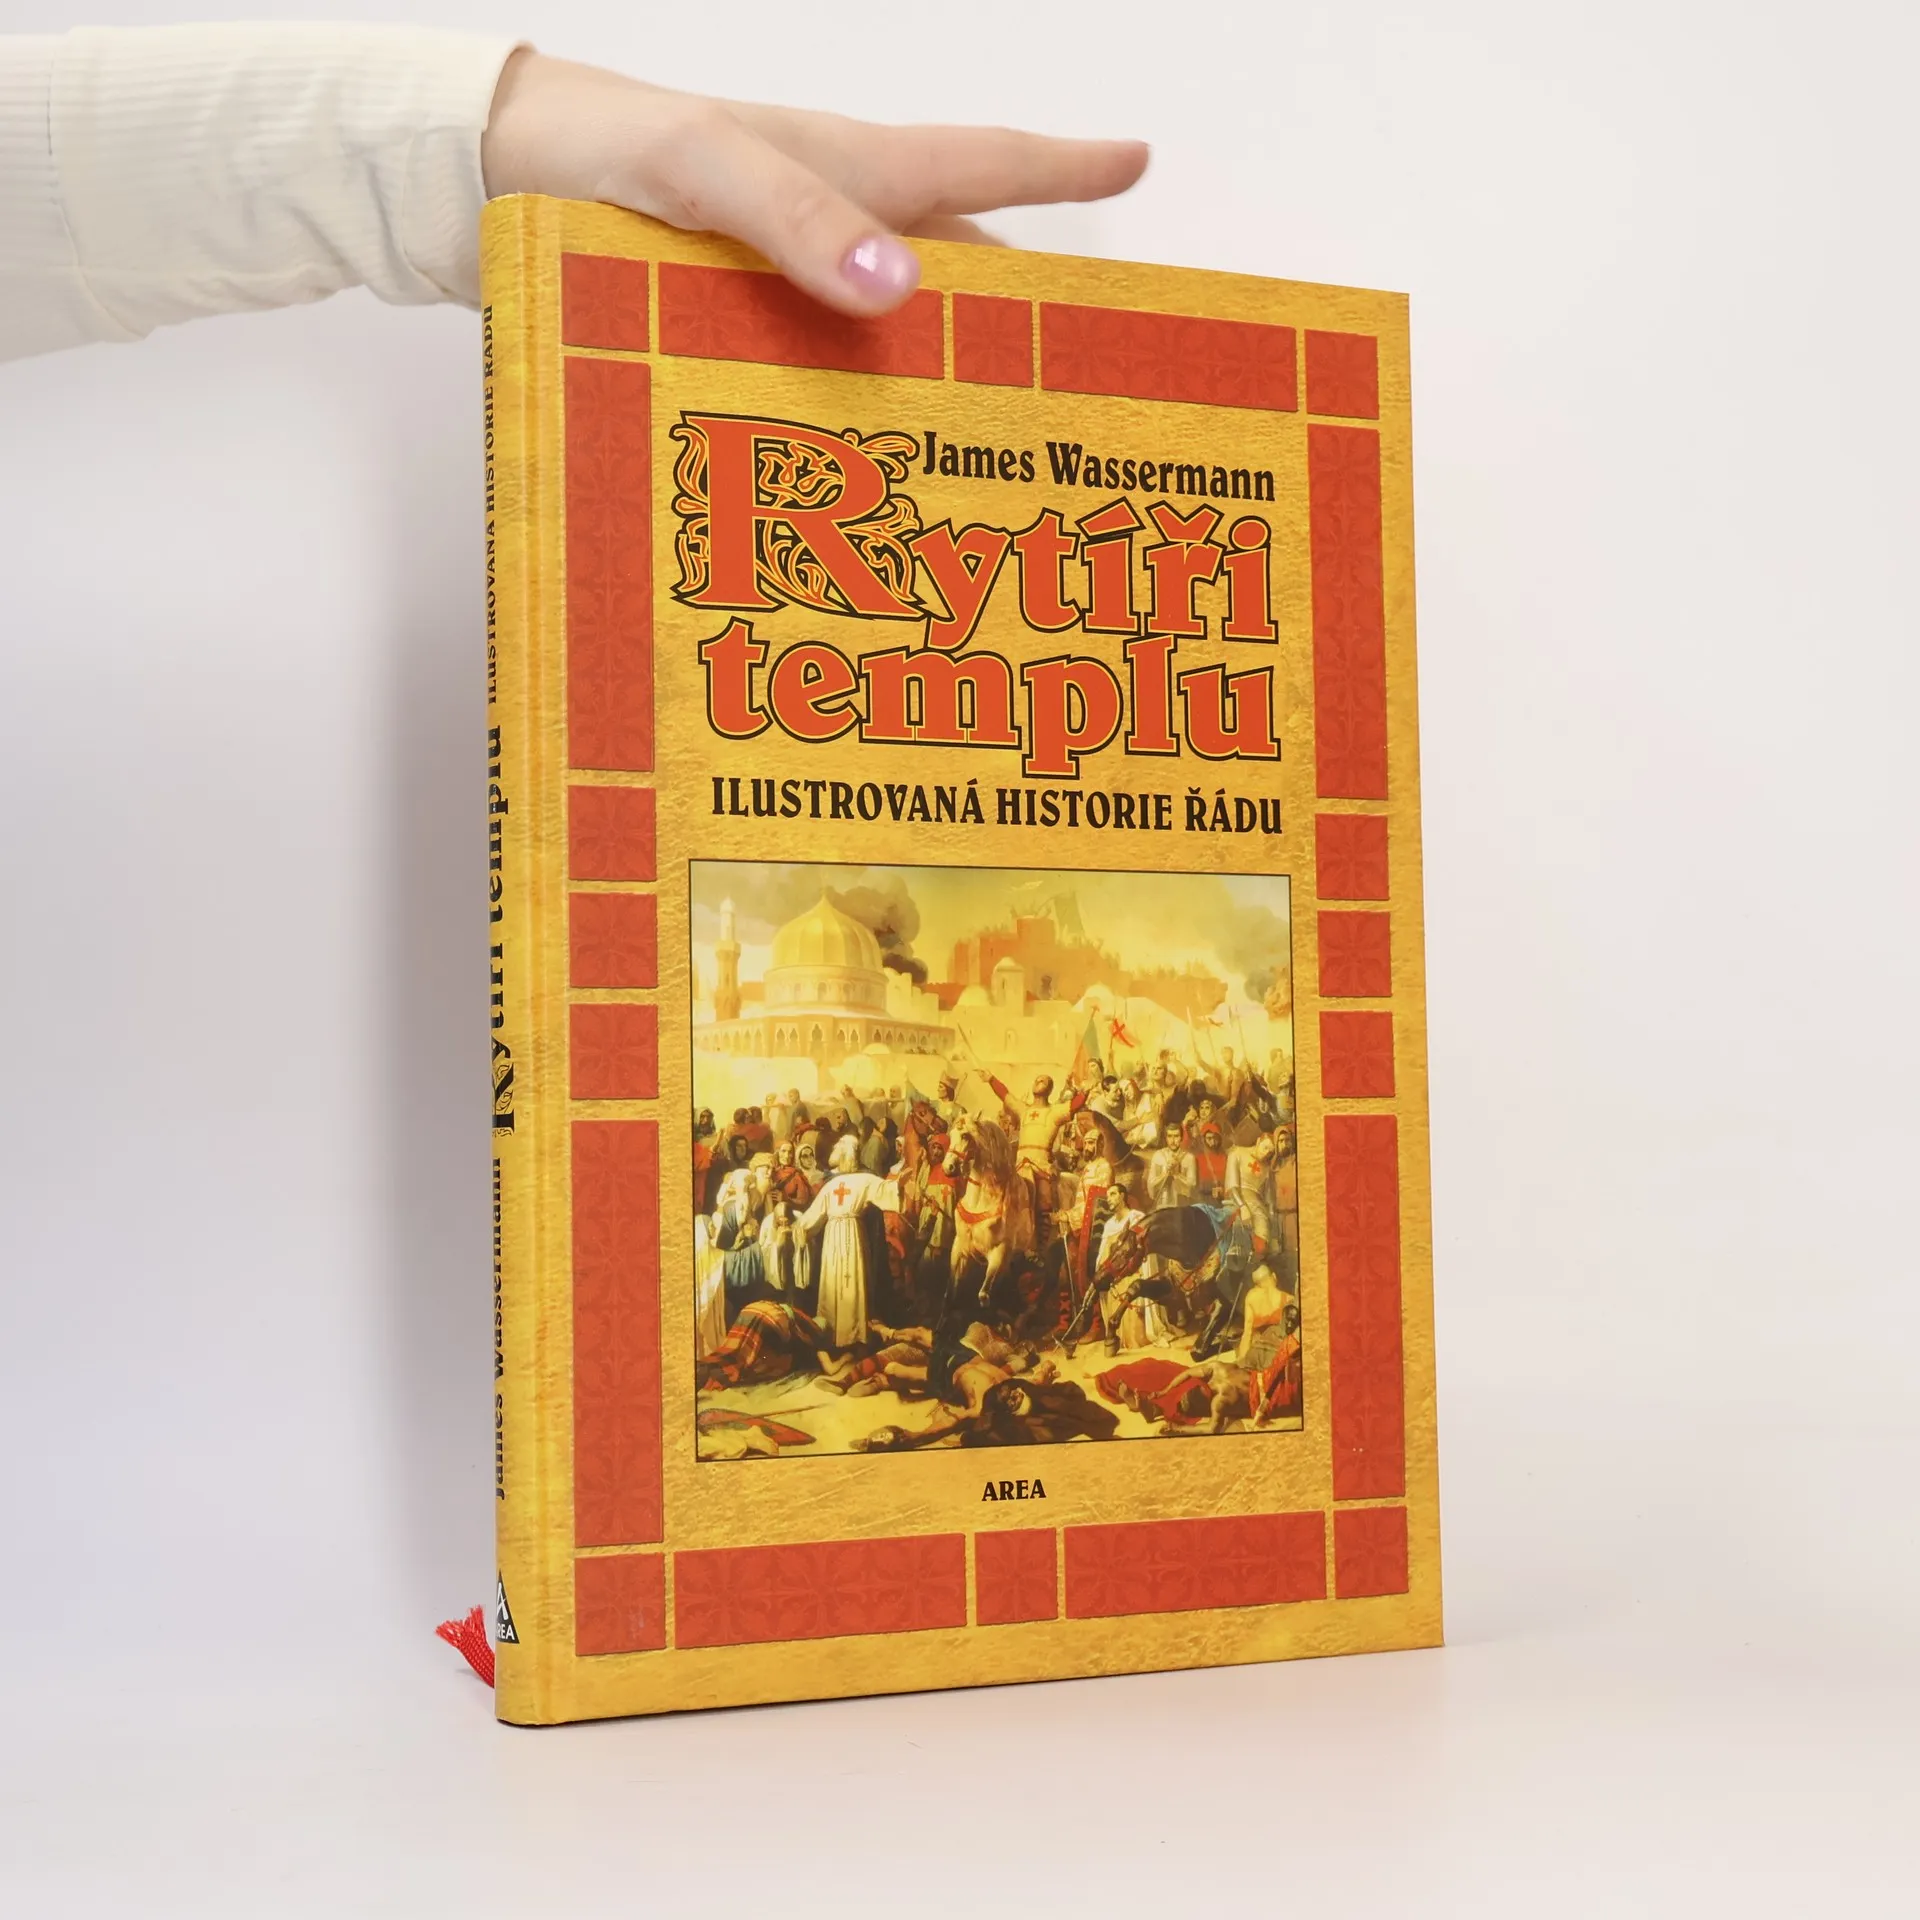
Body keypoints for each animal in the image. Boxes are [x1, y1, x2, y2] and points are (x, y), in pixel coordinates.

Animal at [942, 1113, 1034, 1315]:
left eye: (965, 1136)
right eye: (951, 1135)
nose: (947, 1168)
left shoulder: (999, 1252)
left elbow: (984, 1296)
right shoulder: (960, 1247)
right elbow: (950, 1293)